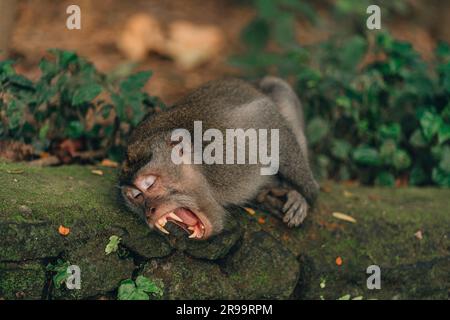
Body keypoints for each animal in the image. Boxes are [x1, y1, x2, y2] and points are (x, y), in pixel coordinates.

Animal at [118, 77, 318, 240]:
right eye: (136, 197)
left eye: (150, 183)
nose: (149, 212)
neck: (205, 174)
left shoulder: (228, 153)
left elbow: (266, 115)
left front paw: (307, 194)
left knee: (278, 87)